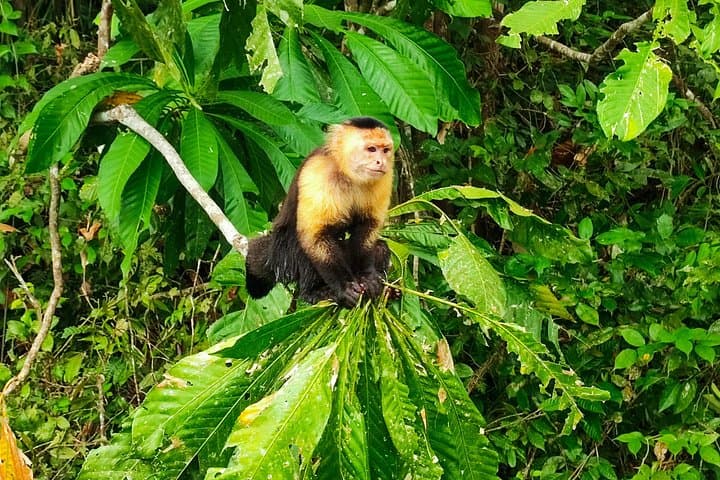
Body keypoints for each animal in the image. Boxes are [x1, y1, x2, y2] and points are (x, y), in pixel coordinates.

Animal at [245, 117, 394, 308]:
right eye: (371, 149)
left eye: (385, 150)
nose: (380, 162)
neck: (348, 174)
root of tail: (272, 254)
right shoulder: (318, 172)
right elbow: (316, 235)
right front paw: (344, 287)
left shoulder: (385, 177)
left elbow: (367, 227)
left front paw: (367, 277)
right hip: (284, 258)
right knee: (302, 245)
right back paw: (313, 292)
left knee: (380, 247)